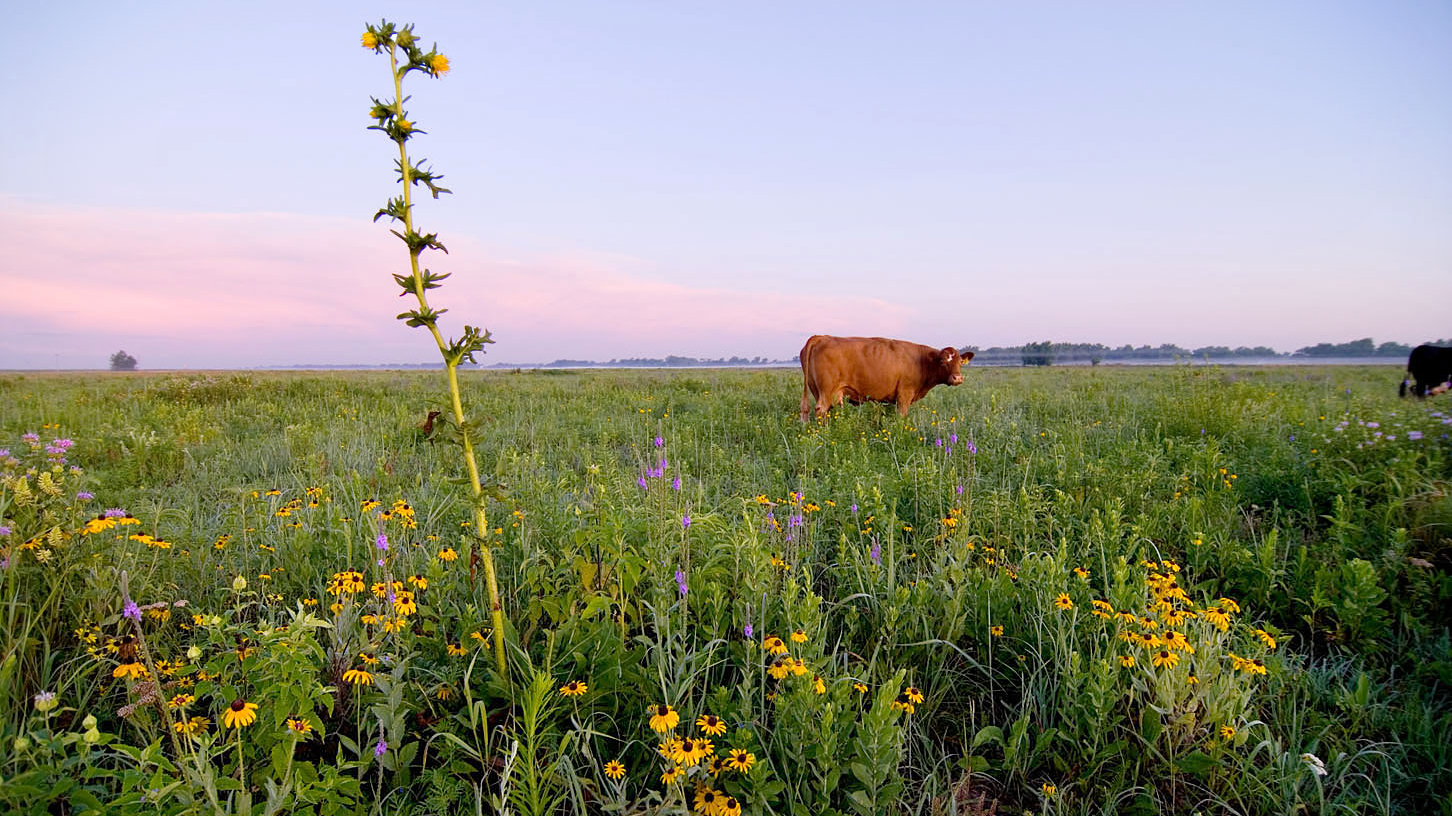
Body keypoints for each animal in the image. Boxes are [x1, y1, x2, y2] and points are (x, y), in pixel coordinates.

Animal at [795, 333, 975, 418]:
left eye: (960, 362)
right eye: (943, 362)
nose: (957, 378)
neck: (922, 361)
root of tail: (821, 337)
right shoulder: (904, 394)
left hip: (817, 390)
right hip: (826, 392)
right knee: (820, 411)